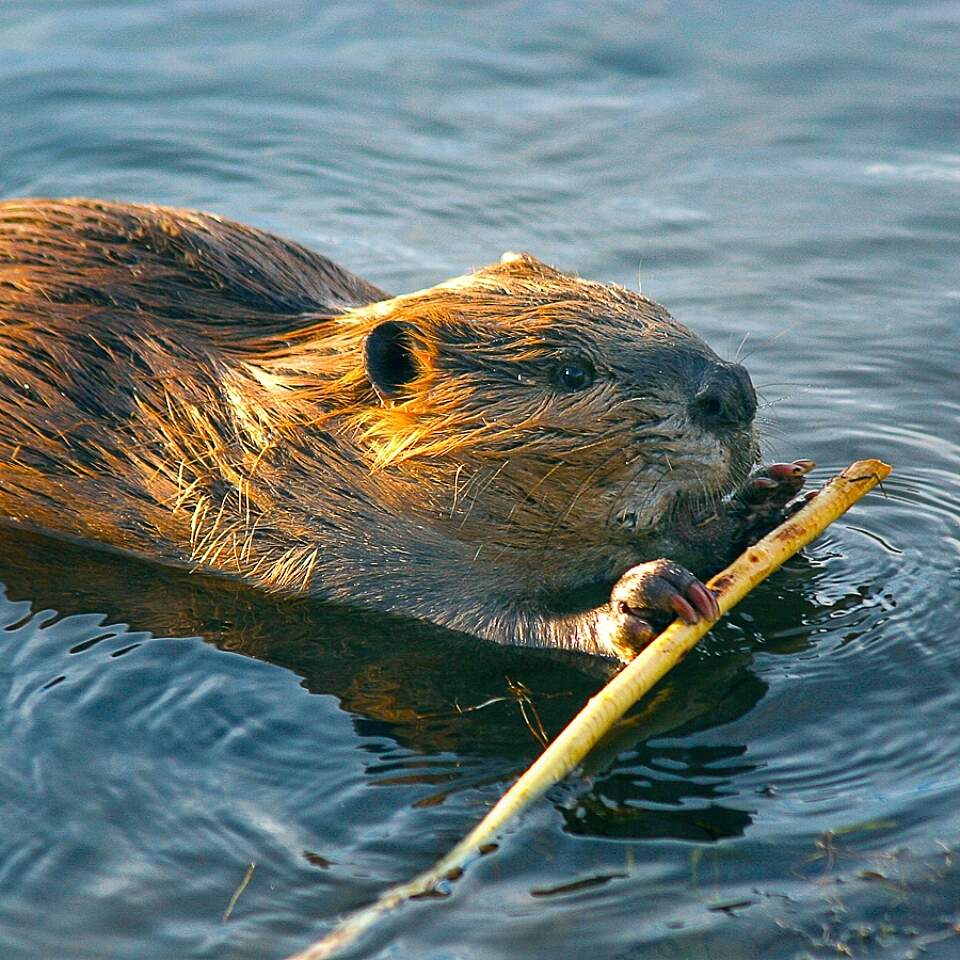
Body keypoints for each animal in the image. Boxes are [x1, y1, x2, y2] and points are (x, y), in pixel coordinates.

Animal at [0, 195, 808, 660]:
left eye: (658, 309)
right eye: (571, 371)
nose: (730, 391)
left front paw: (771, 498)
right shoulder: (312, 535)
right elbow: (477, 622)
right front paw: (643, 600)